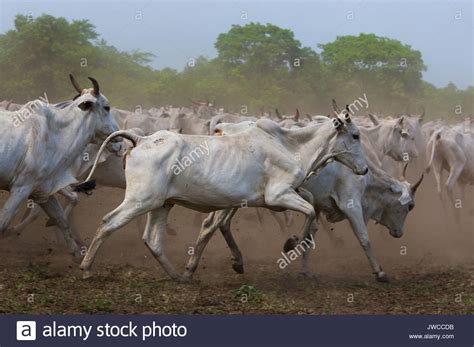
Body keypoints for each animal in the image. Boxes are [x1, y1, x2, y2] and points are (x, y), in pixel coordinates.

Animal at [0, 76, 120, 260]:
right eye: (107, 107)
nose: (119, 141)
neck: (57, 134)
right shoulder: (22, 187)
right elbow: (3, 223)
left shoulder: (42, 188)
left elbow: (61, 218)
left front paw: (76, 254)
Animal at [76, 115, 368, 282]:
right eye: (355, 135)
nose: (365, 169)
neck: (290, 145)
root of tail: (142, 139)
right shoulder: (277, 195)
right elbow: (309, 212)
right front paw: (290, 243)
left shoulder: (284, 194)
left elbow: (309, 205)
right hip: (139, 201)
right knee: (108, 222)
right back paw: (87, 269)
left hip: (161, 205)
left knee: (153, 240)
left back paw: (180, 276)